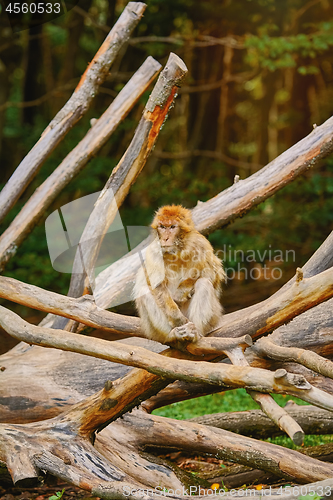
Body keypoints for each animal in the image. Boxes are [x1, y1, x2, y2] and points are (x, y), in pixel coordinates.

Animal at [133, 205, 226, 346]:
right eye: (162, 227)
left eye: (172, 227)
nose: (165, 238)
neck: (176, 251)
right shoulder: (154, 250)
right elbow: (156, 285)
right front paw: (177, 319)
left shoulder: (200, 243)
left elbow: (213, 273)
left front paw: (182, 290)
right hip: (151, 331)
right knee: (144, 292)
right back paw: (172, 335)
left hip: (213, 317)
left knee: (203, 283)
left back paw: (194, 332)